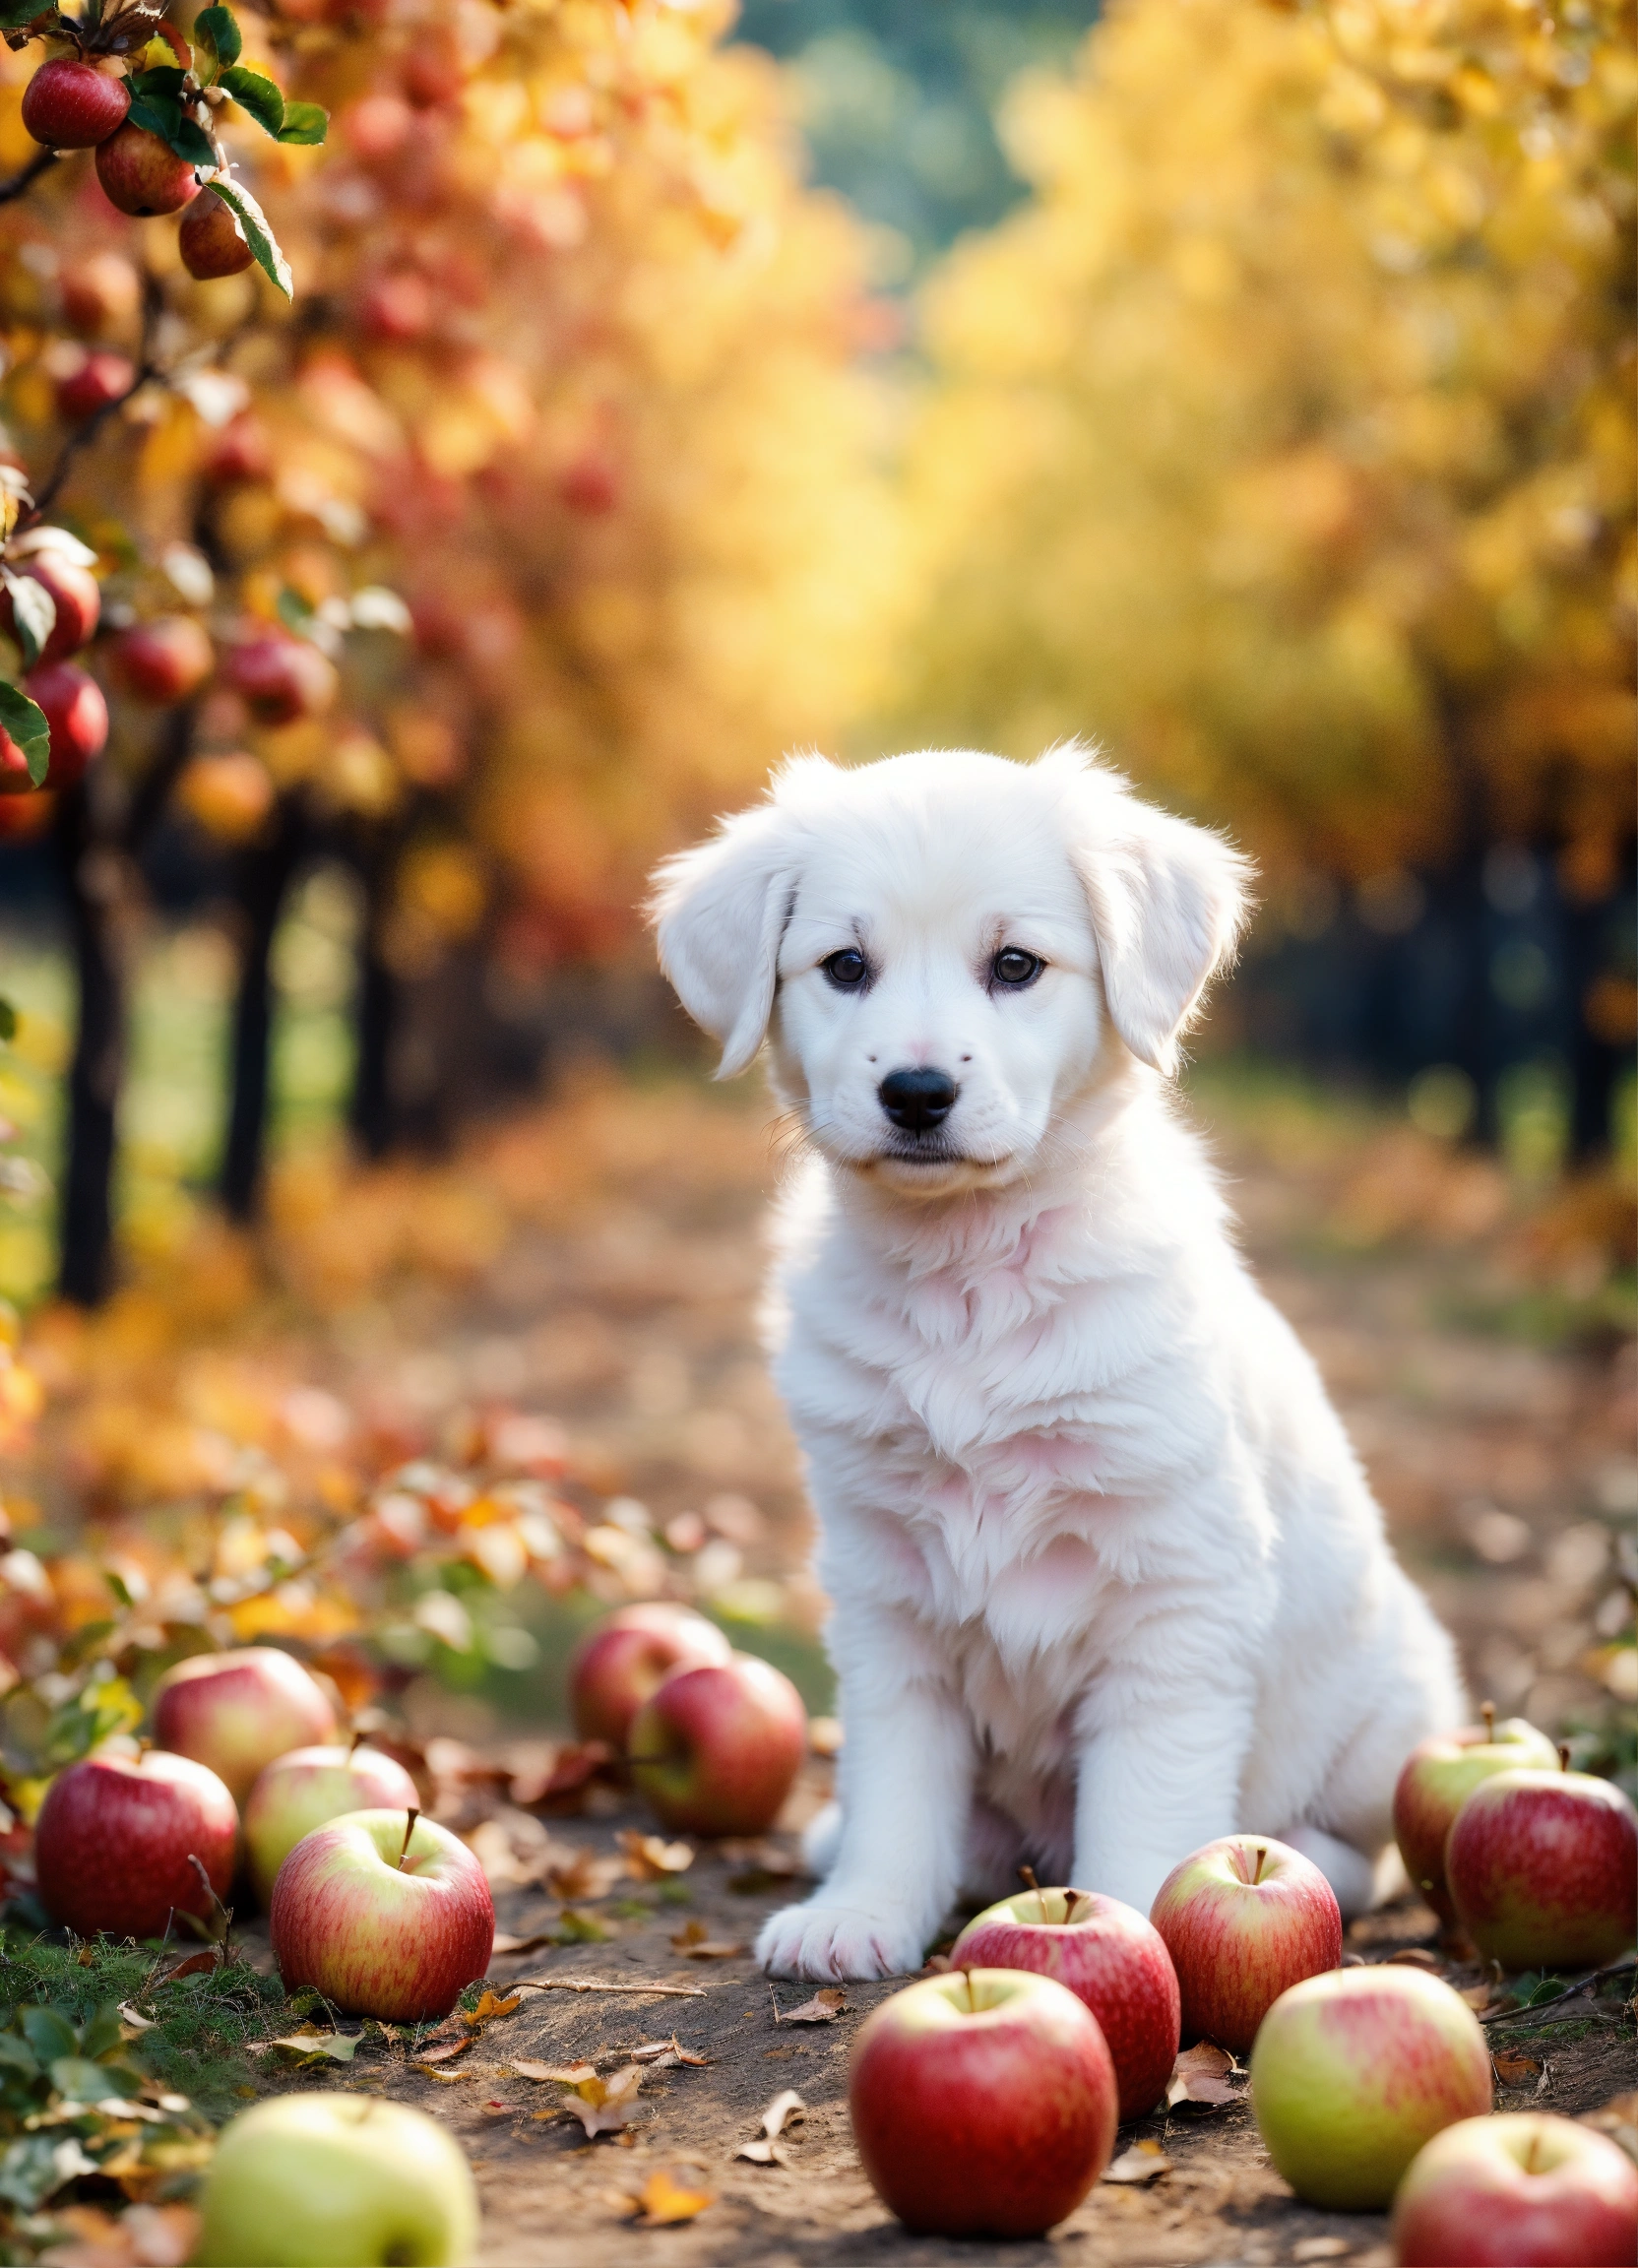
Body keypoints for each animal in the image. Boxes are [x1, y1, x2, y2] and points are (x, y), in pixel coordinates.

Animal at [644, 748, 1461, 1986]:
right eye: (845, 967)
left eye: (1015, 966)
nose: (915, 1093)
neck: (967, 1275)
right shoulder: (883, 1590)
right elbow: (897, 1781)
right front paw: (863, 1911)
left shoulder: (1174, 1592)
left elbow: (1146, 1801)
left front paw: (1132, 1923)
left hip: (1389, 1720)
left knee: (1351, 1847)